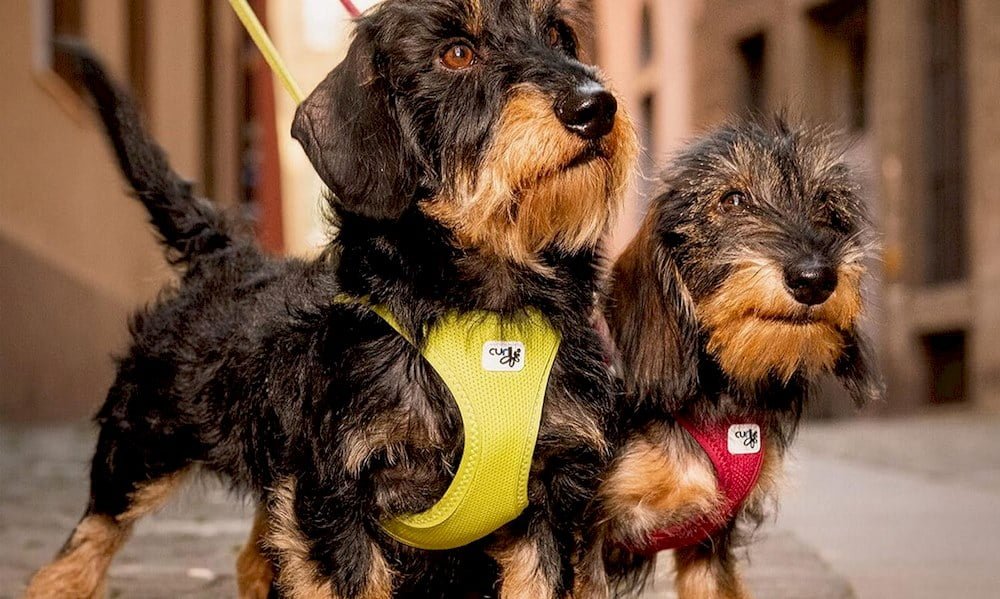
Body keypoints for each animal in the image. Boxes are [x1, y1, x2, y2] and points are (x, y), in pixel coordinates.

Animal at [25, 2, 640, 596]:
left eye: (559, 35)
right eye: (457, 53)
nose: (595, 106)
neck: (487, 312)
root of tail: (227, 253)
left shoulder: (553, 500)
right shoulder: (336, 499)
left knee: (254, 557)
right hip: (141, 445)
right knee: (86, 541)